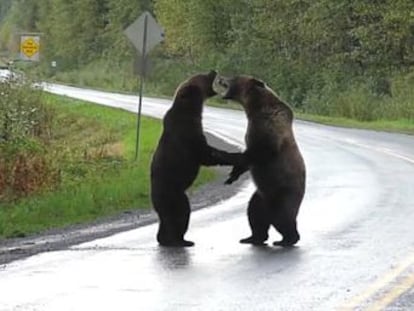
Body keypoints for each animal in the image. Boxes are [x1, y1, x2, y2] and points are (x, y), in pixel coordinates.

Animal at [150, 70, 244, 249]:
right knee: (180, 214)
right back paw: (180, 240)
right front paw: (238, 156)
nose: (213, 70)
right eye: (202, 76)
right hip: (173, 194)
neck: (191, 110)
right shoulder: (189, 134)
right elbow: (208, 154)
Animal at [213, 74, 304, 247]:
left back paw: (287, 239)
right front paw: (232, 175)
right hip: (261, 196)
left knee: (282, 217)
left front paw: (227, 157)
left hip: (283, 192)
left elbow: (259, 152)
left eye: (234, 76)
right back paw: (252, 237)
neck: (255, 108)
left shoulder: (269, 128)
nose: (220, 76)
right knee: (255, 214)